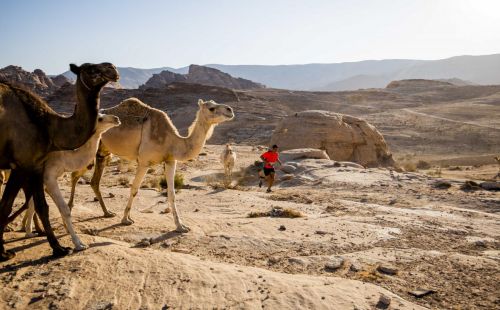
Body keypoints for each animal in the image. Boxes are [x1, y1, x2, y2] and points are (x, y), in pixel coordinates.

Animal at [23, 113, 121, 249]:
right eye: (99, 118)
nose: (116, 119)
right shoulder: (49, 176)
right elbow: (65, 209)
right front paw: (79, 244)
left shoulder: (40, 177)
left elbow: (32, 204)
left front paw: (29, 233)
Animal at [68, 98, 234, 231]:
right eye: (211, 108)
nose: (230, 110)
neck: (172, 140)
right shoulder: (144, 162)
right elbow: (134, 189)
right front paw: (125, 219)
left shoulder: (170, 161)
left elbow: (172, 193)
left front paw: (181, 226)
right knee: (75, 174)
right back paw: (69, 208)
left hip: (103, 152)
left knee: (94, 181)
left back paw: (107, 213)